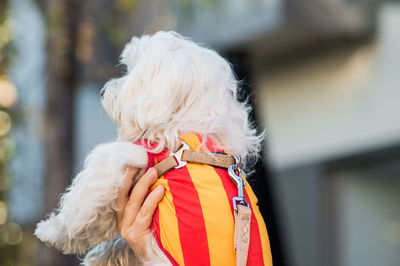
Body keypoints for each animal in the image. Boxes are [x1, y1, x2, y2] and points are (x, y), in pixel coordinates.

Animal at [35, 30, 262, 264]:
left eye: (132, 71)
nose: (102, 90)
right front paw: (98, 257)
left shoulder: (137, 155)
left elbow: (86, 197)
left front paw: (51, 231)